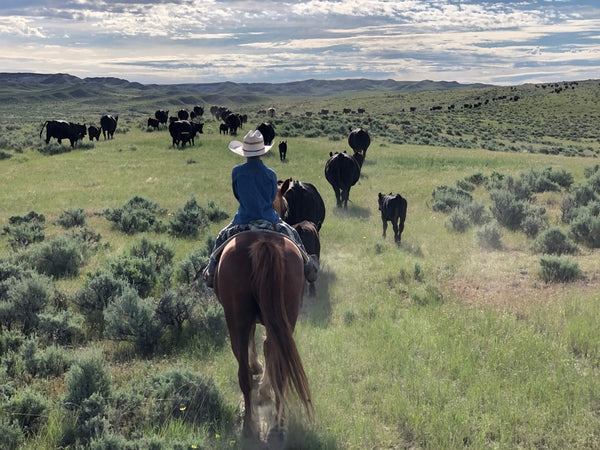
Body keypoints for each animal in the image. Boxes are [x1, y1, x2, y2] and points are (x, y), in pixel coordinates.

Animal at [214, 230, 314, 438]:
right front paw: (264, 388)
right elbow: (268, 350)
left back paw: (250, 422)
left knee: (244, 370)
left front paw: (257, 369)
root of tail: (264, 242)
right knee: (279, 369)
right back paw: (278, 422)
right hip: (286, 317)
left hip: (238, 320)